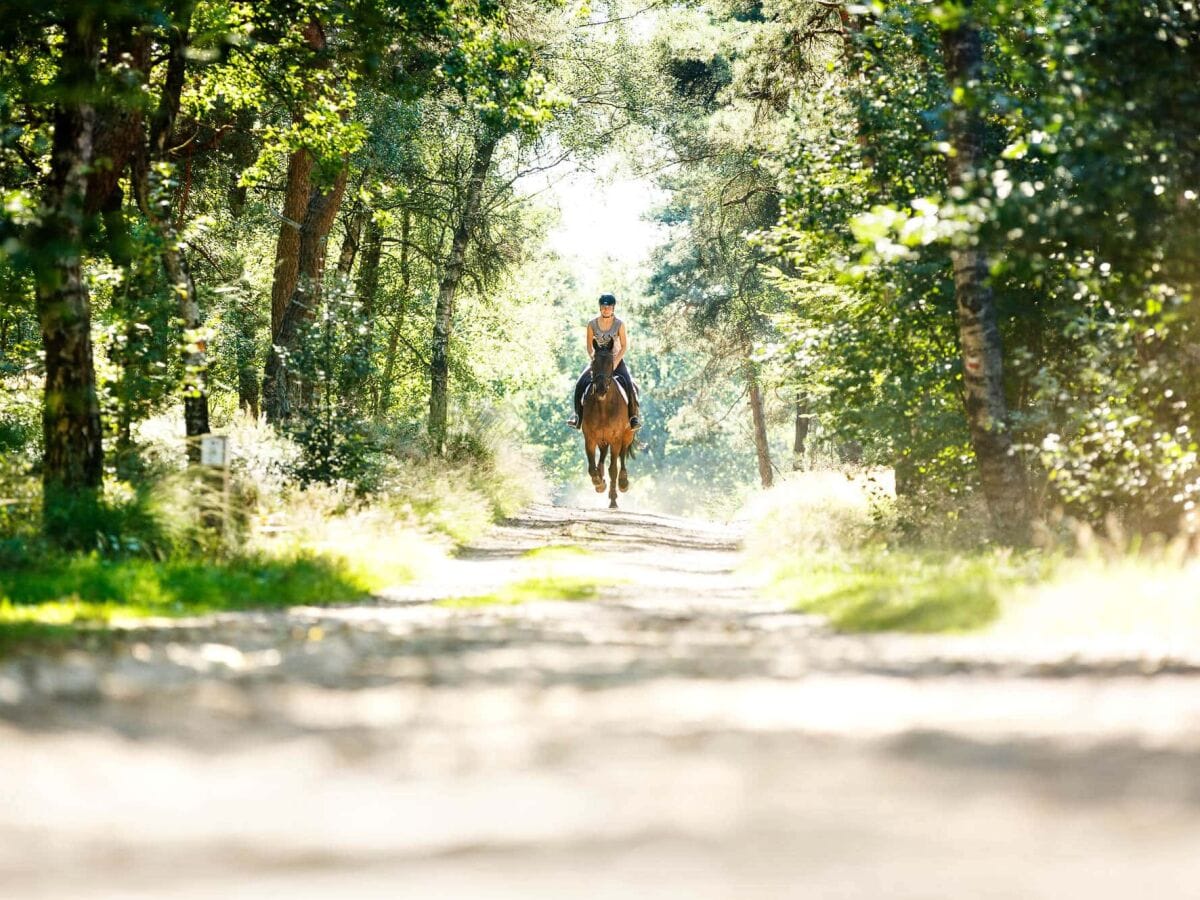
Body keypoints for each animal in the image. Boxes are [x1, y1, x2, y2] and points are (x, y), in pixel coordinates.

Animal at [583, 345, 638, 508]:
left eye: (610, 362)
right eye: (594, 362)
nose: (601, 389)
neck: (603, 407)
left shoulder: (615, 439)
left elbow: (613, 469)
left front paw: (613, 500)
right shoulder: (589, 438)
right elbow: (591, 468)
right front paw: (599, 482)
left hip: (627, 436)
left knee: (622, 455)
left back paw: (623, 482)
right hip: (602, 439)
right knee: (602, 454)